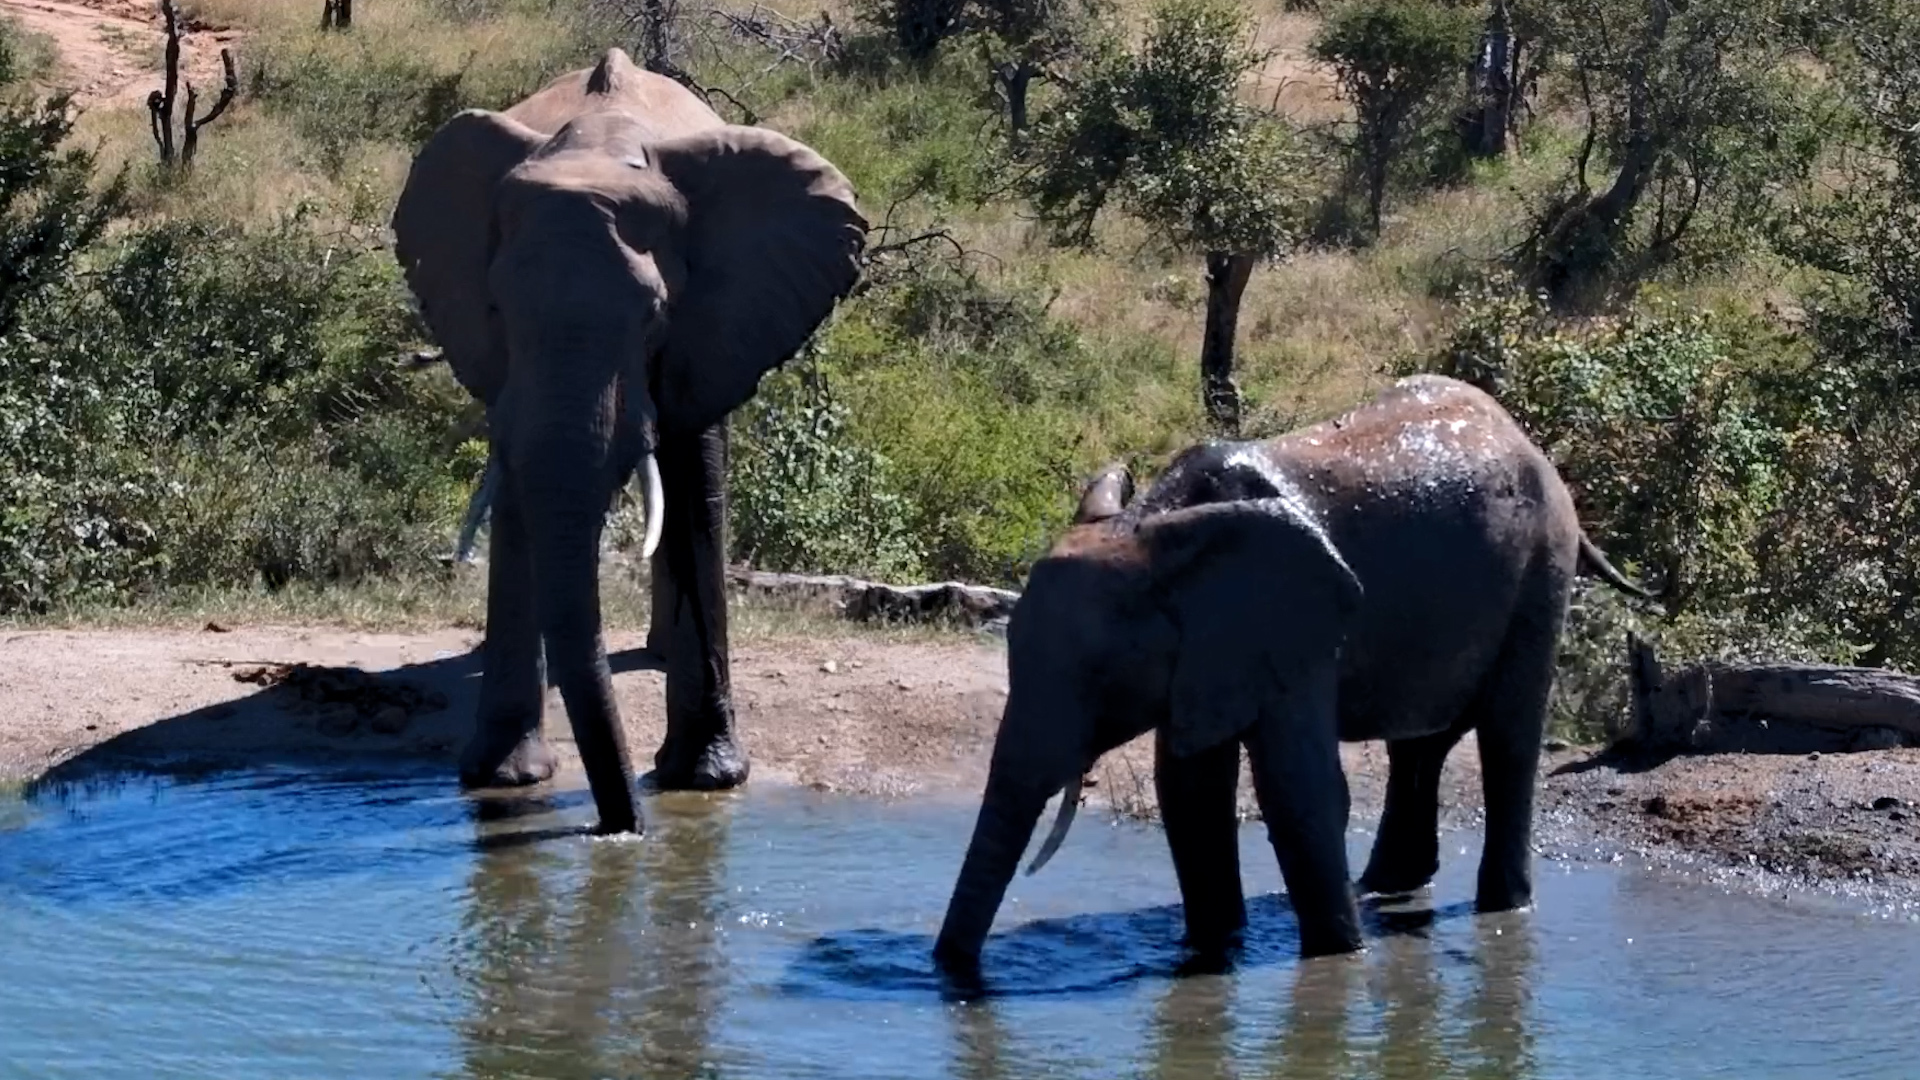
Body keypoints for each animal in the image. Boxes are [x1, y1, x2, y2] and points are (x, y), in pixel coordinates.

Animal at [391, 47, 867, 833]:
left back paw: (658, 654)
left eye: (653, 318)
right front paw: (505, 780)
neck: (600, 145)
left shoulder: (713, 322)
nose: (619, 827)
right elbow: (520, 492)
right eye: (498, 308)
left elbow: (694, 491)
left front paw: (703, 780)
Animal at [932, 373, 1653, 974]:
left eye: (1103, 677)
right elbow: (1189, 789)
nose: (953, 976)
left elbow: (1296, 787)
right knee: (1419, 741)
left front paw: (1338, 959)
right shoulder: (1211, 648)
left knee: (1506, 738)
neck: (1154, 523)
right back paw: (1385, 889)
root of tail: (1527, 439)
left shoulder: (1292, 629)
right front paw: (1212, 949)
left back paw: (1497, 909)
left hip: (1543, 570)